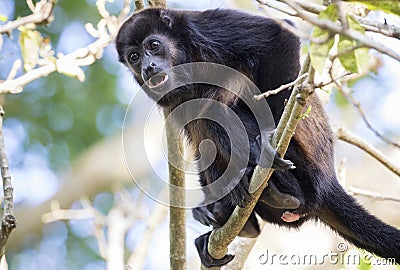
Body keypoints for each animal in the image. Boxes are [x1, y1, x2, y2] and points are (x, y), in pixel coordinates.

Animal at [117, 7, 400, 266]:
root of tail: (328, 183)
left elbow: (279, 35)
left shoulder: (205, 27)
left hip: (308, 174)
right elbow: (196, 141)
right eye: (134, 56)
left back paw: (278, 186)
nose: (148, 67)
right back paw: (237, 217)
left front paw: (269, 134)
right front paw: (208, 207)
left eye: (154, 45)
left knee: (220, 111)